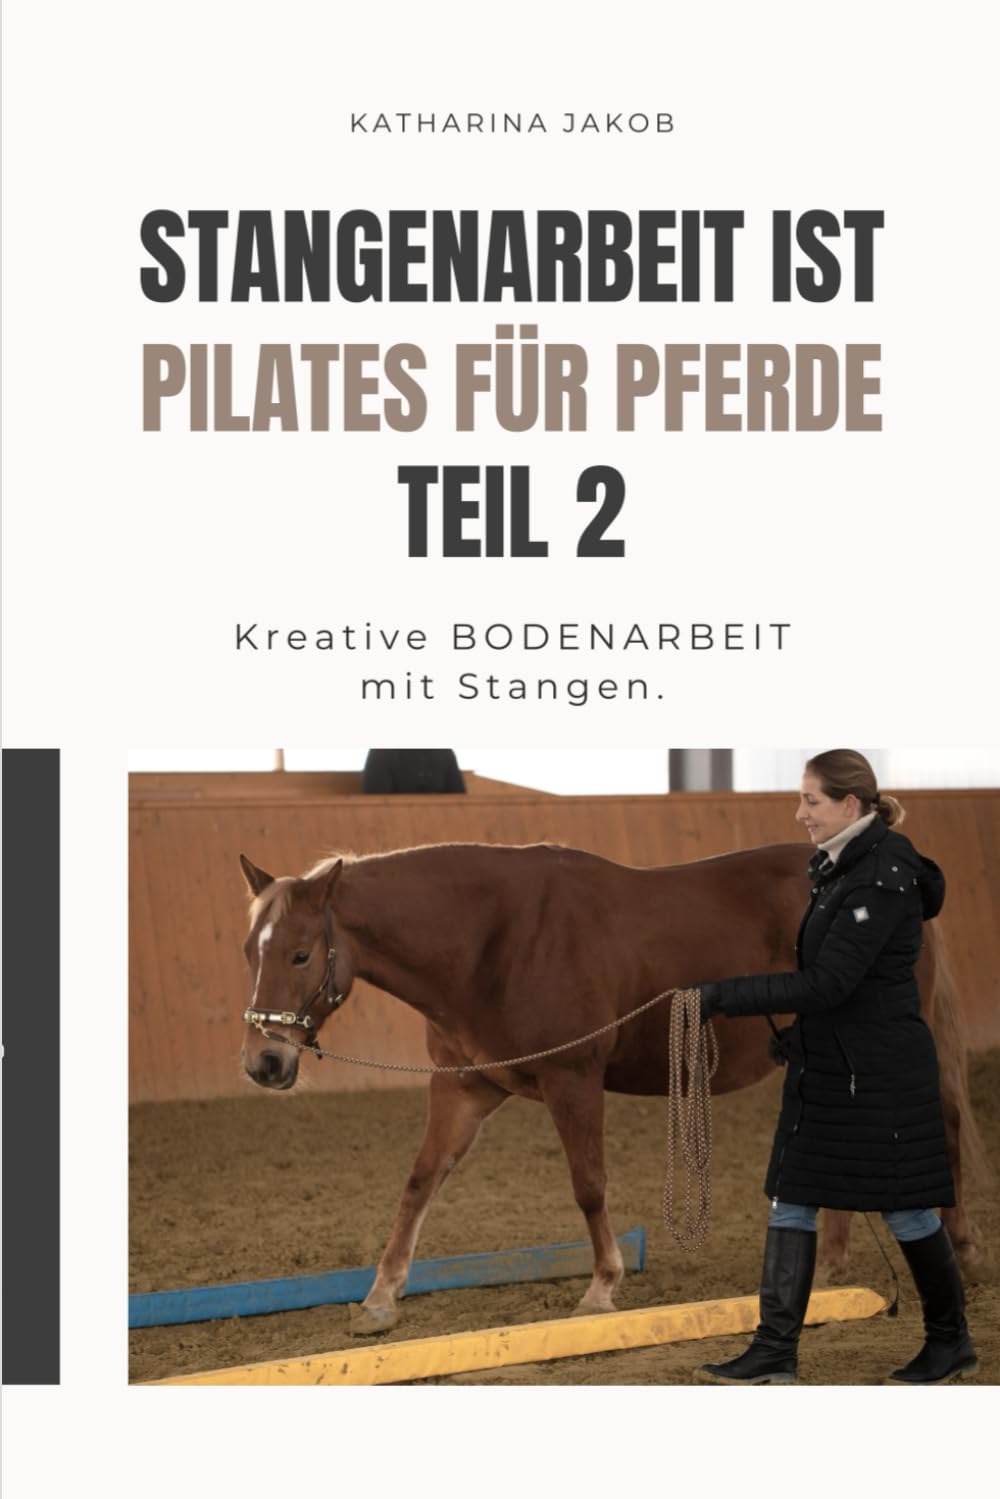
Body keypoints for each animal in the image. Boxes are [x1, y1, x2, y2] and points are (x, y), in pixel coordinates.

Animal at [238, 840, 984, 1336]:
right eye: (251, 951)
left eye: (300, 953)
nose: (263, 1063)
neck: (493, 942)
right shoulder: (465, 1090)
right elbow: (420, 1183)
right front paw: (380, 1298)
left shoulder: (573, 1080)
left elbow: (588, 1184)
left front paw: (602, 1287)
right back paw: (829, 1266)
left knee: (943, 1131)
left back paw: (964, 1256)